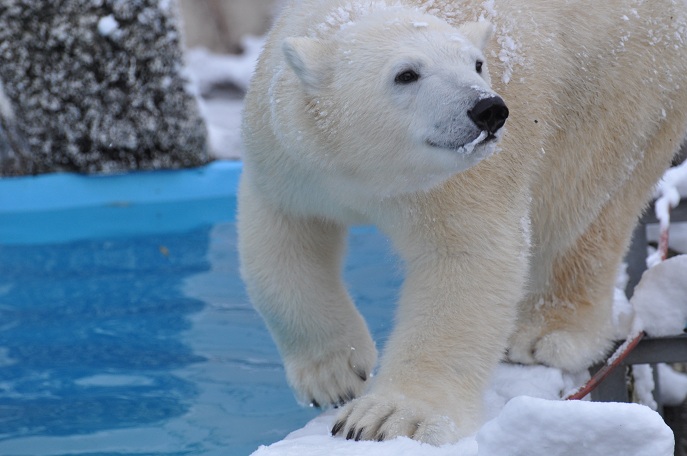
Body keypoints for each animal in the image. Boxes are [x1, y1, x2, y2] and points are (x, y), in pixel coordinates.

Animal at [239, 0, 687, 446]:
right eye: (406, 74)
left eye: (477, 64)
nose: (488, 109)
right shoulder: (290, 157)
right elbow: (281, 242)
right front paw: (335, 376)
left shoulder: (462, 178)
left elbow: (467, 260)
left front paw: (385, 417)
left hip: (627, 74)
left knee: (582, 198)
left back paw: (545, 335)